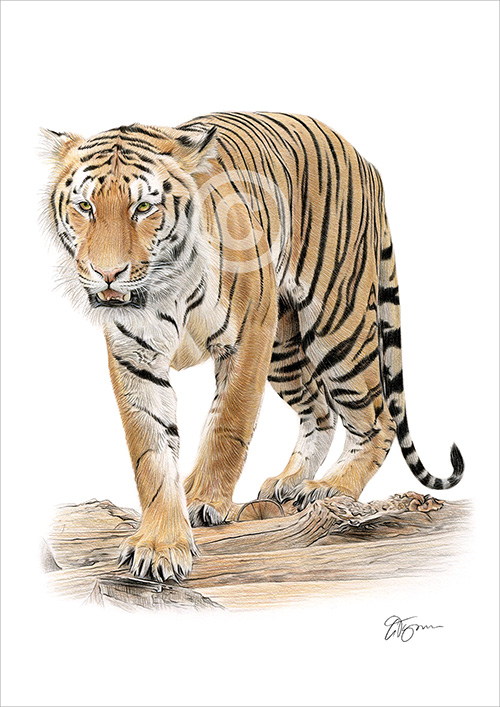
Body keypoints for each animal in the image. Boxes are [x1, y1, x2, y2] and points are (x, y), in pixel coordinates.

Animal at [42, 112, 464, 582]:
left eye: (144, 208)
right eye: (85, 207)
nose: (107, 274)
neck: (163, 289)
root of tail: (363, 160)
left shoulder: (248, 339)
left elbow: (229, 424)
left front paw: (206, 501)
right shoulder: (135, 358)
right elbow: (151, 454)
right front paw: (160, 543)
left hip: (337, 325)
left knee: (377, 418)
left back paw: (330, 488)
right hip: (285, 349)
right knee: (320, 410)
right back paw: (288, 481)